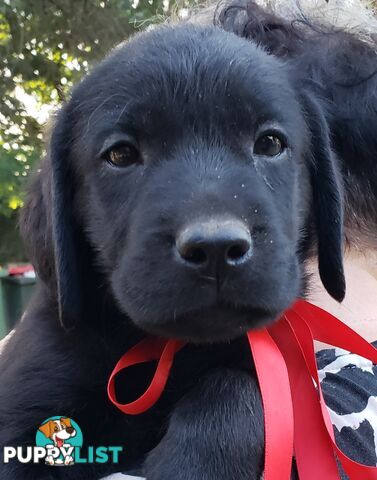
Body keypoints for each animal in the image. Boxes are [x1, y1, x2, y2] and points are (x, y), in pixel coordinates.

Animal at [1, 5, 374, 474]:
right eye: (120, 155)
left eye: (270, 143)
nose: (215, 248)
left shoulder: (275, 367)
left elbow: (241, 391)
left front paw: (195, 462)